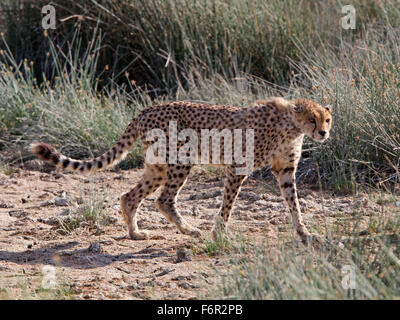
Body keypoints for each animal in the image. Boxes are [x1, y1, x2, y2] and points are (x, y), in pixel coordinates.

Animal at [30, 97, 332, 245]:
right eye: (311, 119)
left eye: (326, 119)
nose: (324, 133)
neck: (290, 126)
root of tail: (146, 110)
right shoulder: (238, 167)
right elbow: (227, 205)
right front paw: (219, 234)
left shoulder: (285, 171)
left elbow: (294, 203)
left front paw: (304, 234)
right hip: (180, 160)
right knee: (163, 200)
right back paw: (188, 229)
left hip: (157, 166)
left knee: (130, 196)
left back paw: (135, 234)